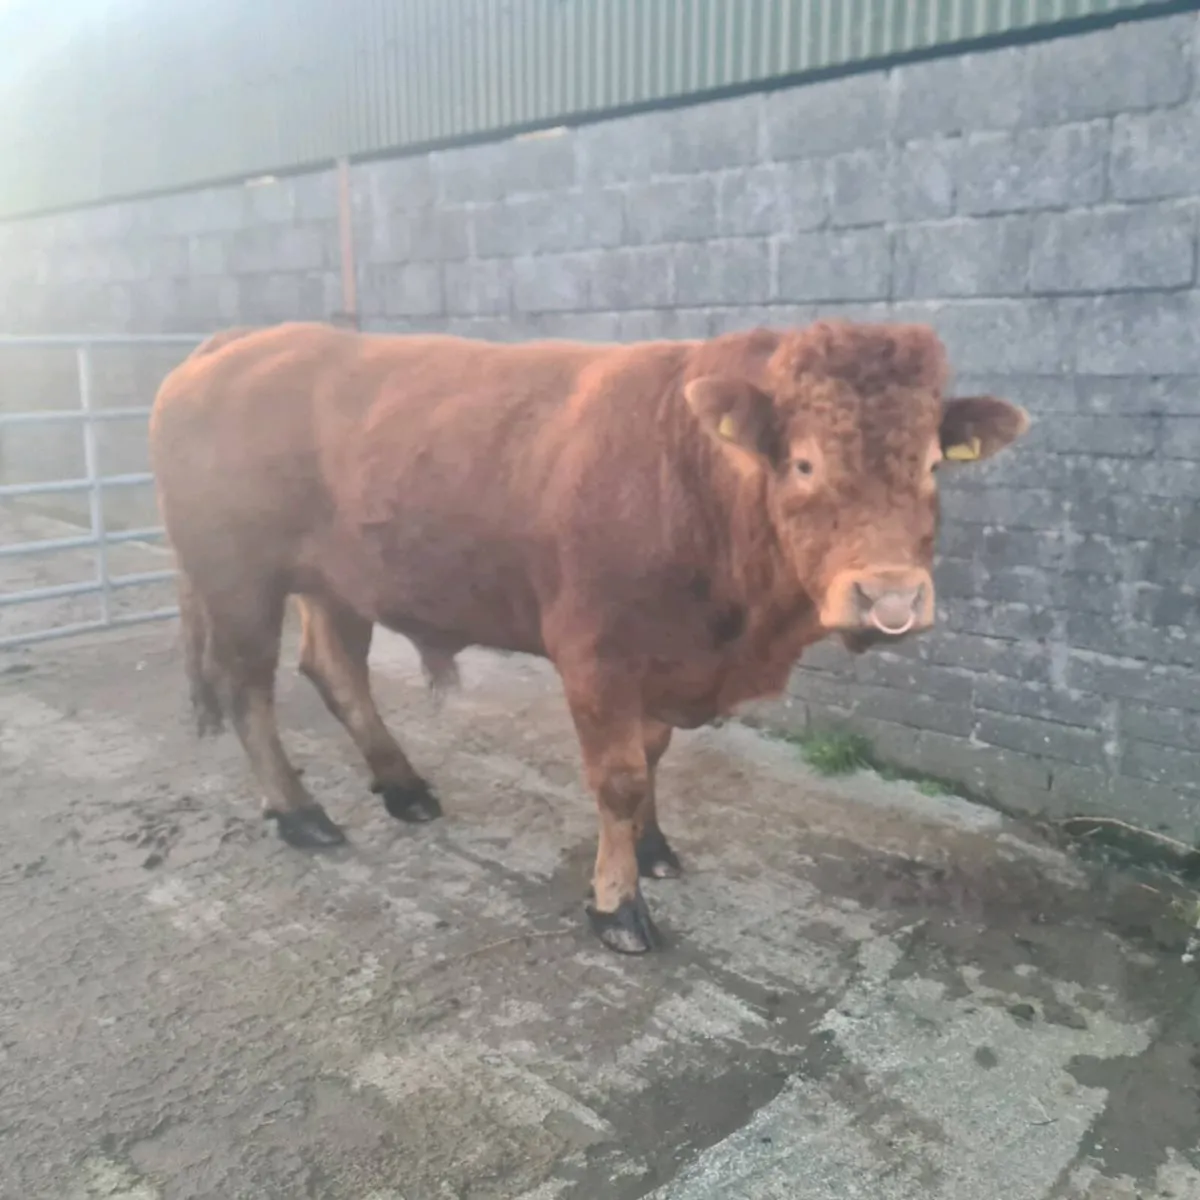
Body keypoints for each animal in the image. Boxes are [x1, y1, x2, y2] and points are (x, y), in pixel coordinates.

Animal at [149, 319, 1029, 954]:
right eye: (805, 464)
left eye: (933, 466)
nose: (890, 596)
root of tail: (233, 343)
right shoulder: (597, 659)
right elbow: (621, 779)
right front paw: (618, 905)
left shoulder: (665, 664)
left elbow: (653, 757)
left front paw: (651, 849)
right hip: (237, 581)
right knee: (248, 690)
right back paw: (301, 813)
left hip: (336, 584)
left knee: (334, 670)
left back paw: (404, 787)